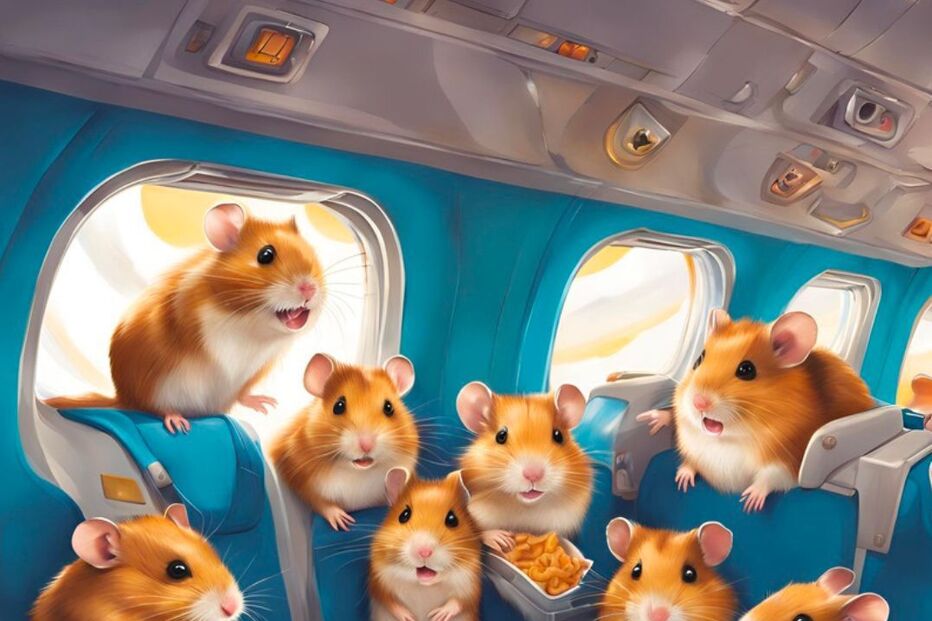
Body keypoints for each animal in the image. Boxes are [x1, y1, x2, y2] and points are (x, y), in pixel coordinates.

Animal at [46, 203, 325, 433]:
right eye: (265, 255)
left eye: (311, 254)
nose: (309, 289)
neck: (248, 318)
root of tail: (124, 397)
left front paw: (268, 405)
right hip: (159, 386)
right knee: (156, 408)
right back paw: (177, 423)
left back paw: (262, 404)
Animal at [271, 353, 419, 531]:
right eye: (338, 406)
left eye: (389, 407)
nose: (366, 445)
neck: (356, 472)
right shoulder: (300, 478)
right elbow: (320, 502)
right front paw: (344, 522)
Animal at [369, 467, 481, 621]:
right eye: (404, 515)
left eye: (452, 519)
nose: (424, 552)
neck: (424, 585)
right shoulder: (379, 583)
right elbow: (391, 602)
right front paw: (409, 617)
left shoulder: (470, 586)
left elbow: (458, 602)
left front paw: (437, 615)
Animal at [639, 309, 874, 512]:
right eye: (698, 360)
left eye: (746, 370)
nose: (698, 402)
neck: (731, 439)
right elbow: (690, 460)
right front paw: (682, 479)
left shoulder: (790, 459)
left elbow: (771, 477)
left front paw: (749, 502)